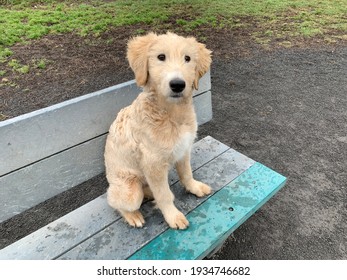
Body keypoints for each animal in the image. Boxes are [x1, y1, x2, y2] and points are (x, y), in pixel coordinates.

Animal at [104, 32, 212, 230]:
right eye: (161, 57)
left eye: (187, 58)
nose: (177, 85)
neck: (172, 114)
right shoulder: (152, 164)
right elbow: (164, 194)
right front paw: (173, 216)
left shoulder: (184, 149)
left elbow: (187, 173)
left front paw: (194, 187)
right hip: (129, 191)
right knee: (115, 203)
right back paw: (133, 216)